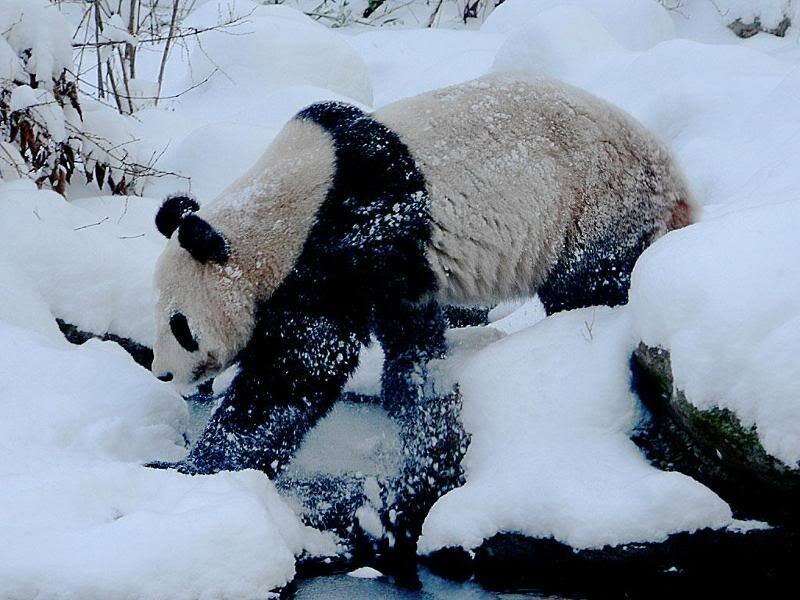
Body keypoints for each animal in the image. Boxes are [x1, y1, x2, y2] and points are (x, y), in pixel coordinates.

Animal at [150, 72, 694, 482]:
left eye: (180, 326)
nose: (163, 374)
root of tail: (676, 182)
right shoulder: (389, 256)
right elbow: (409, 325)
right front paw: (416, 383)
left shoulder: (351, 232)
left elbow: (301, 366)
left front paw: (196, 465)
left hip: (596, 202)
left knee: (591, 281)